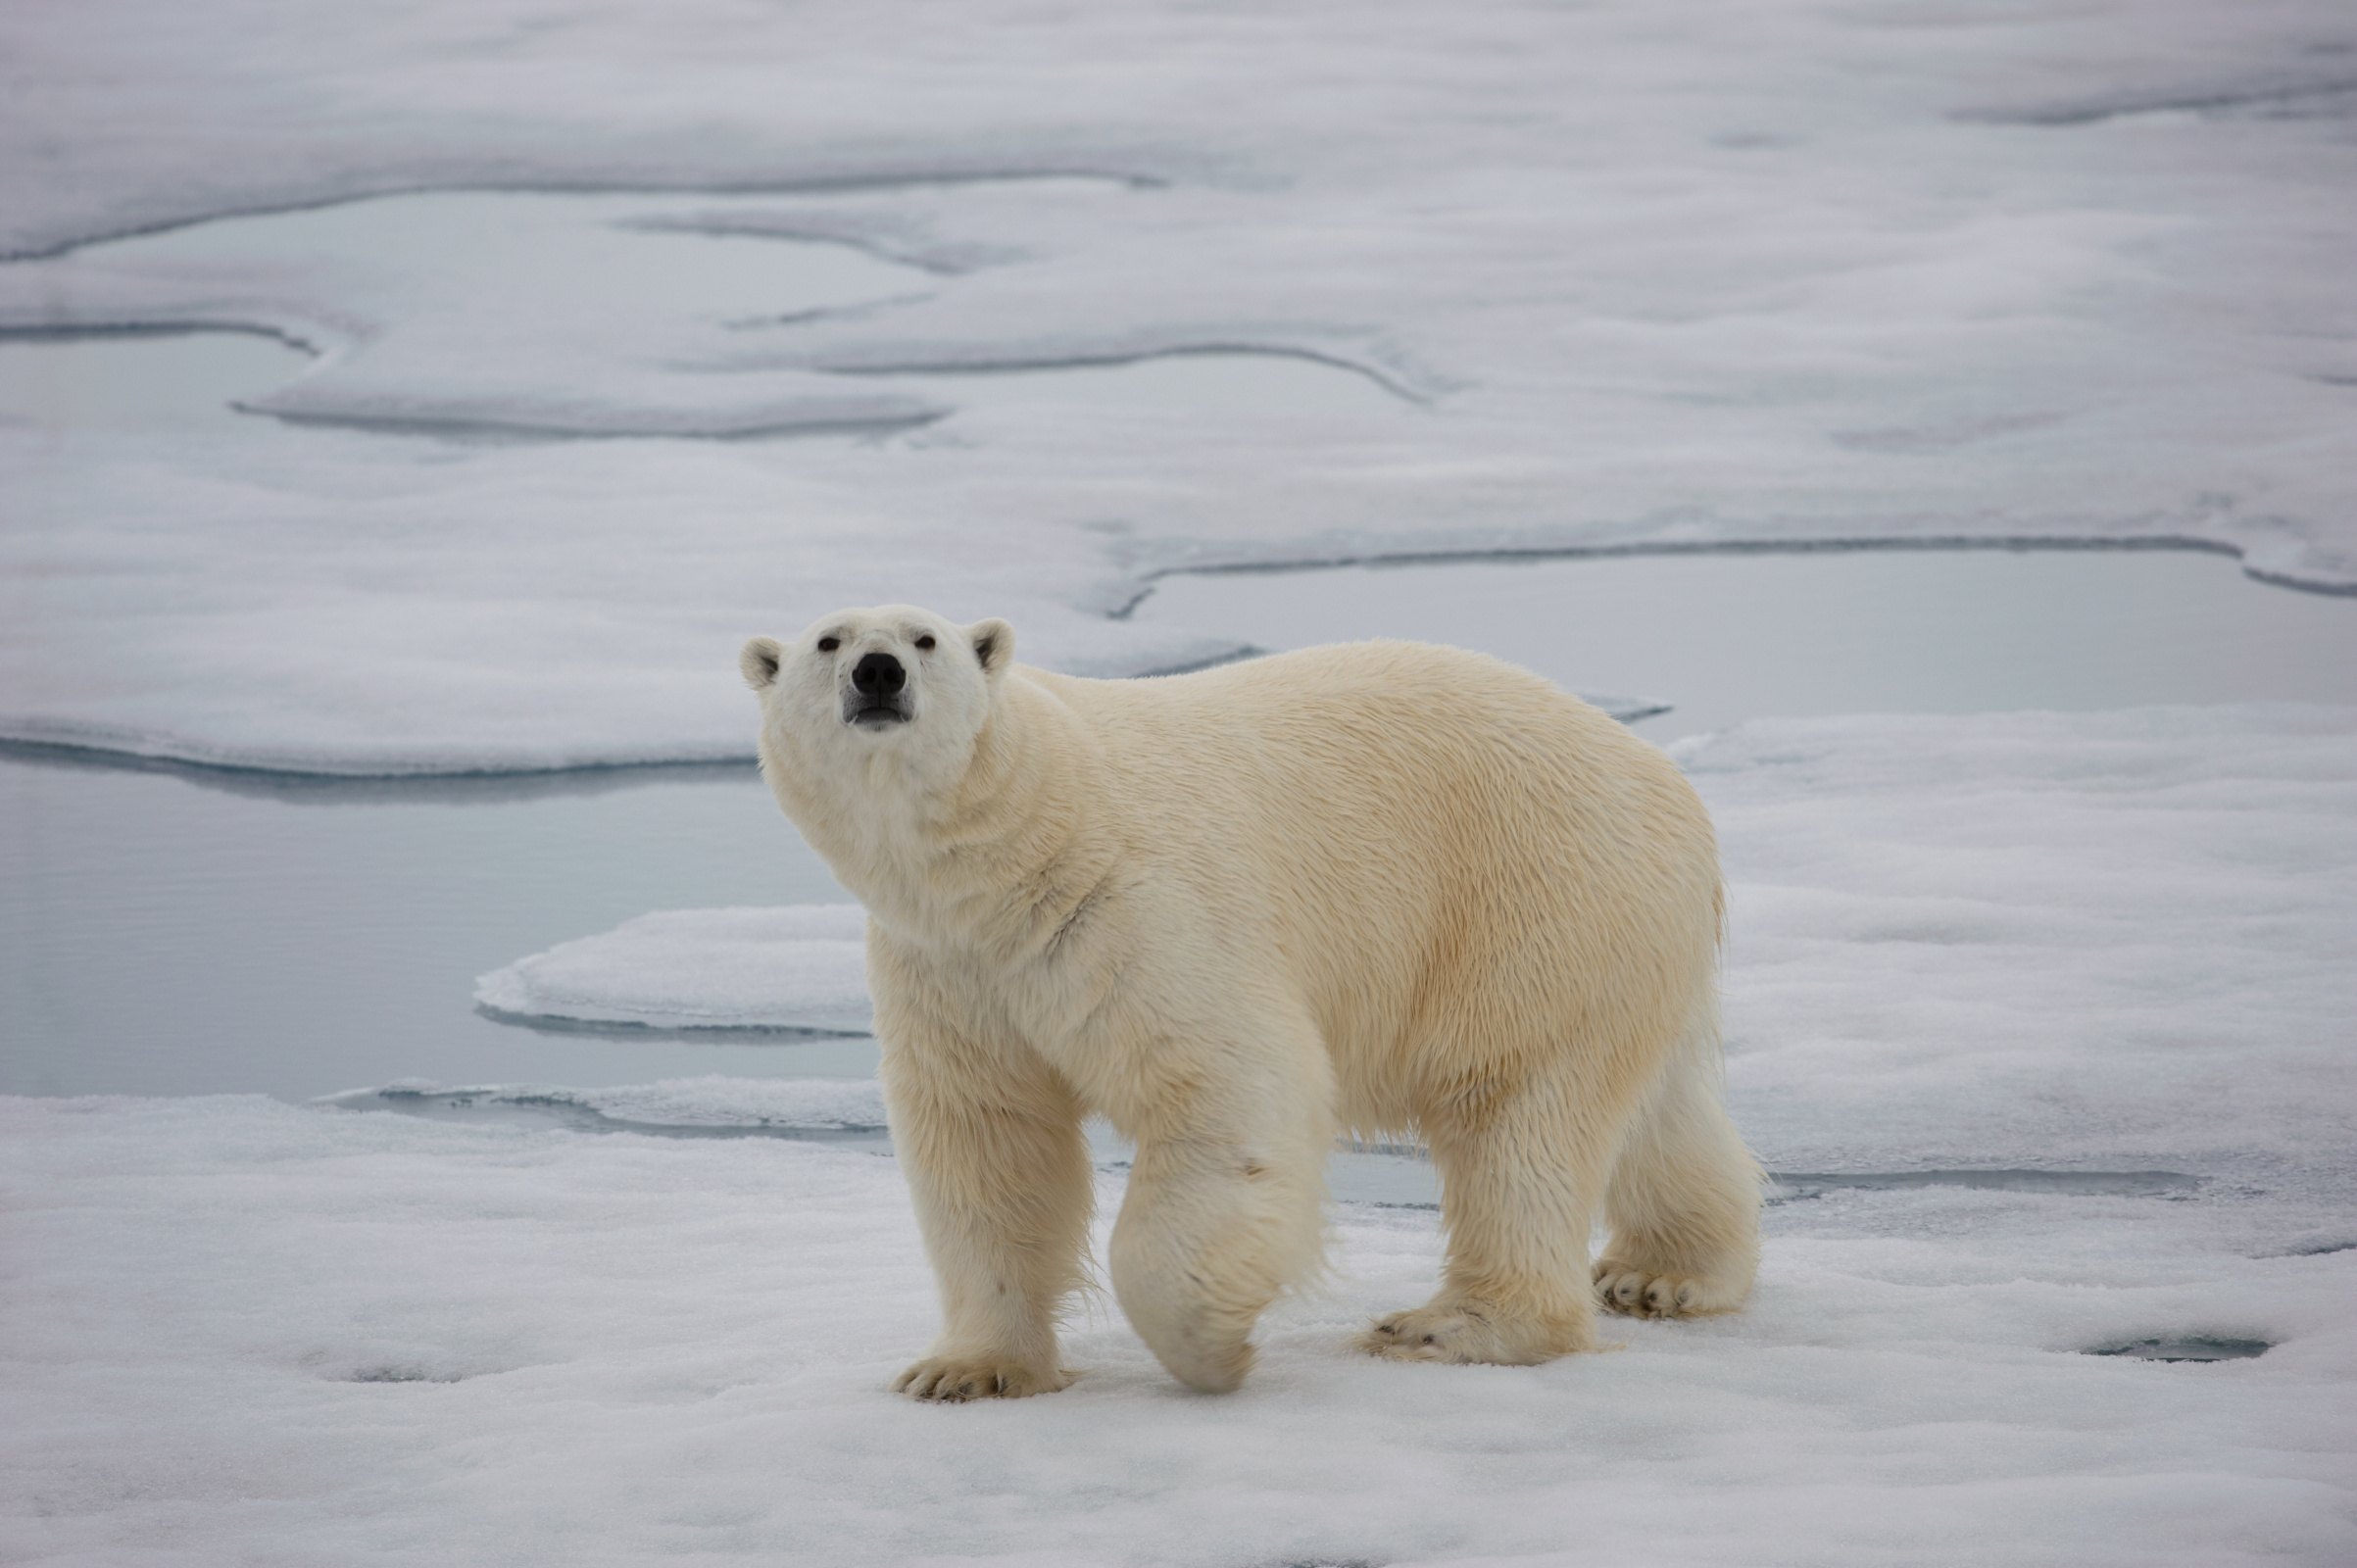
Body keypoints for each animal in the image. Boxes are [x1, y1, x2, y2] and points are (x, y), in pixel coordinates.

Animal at [744, 603, 1762, 1396]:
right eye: (828, 640)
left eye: (924, 638)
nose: (878, 673)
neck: (1020, 843)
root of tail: (1671, 787)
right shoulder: (950, 970)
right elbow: (987, 1142)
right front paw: (964, 1368)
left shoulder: (1131, 905)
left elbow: (1227, 1087)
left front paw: (1209, 1345)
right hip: (1615, 939)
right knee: (1651, 1109)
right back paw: (1660, 1275)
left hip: (1531, 905)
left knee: (1517, 1112)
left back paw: (1448, 1325)